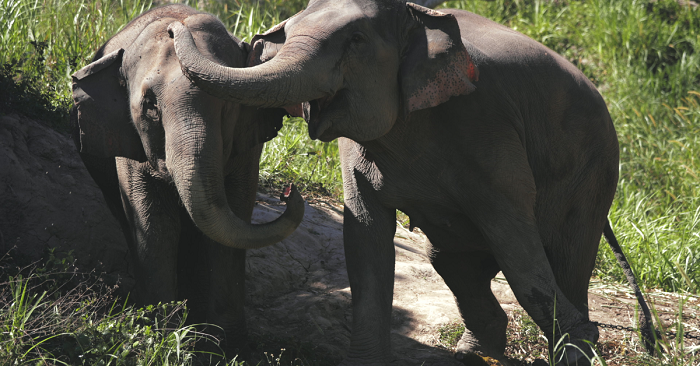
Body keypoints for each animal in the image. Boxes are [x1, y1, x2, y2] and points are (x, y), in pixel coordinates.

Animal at [71, 3, 306, 358]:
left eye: (228, 103)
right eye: (150, 106)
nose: (290, 192)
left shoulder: (247, 147)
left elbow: (232, 219)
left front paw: (227, 349)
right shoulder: (128, 142)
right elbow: (155, 224)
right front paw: (161, 341)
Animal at [167, 1, 652, 364]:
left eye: (356, 42)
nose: (173, 27)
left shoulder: (487, 126)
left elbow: (517, 247)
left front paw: (579, 343)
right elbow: (365, 239)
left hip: (592, 170)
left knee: (564, 258)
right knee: (452, 261)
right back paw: (473, 354)